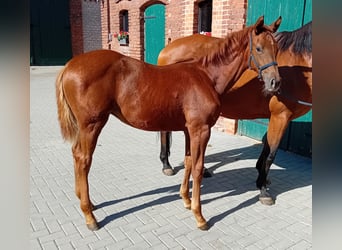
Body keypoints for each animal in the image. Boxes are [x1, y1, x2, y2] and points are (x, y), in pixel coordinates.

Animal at [55, 15, 280, 230]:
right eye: (259, 48)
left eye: (277, 48)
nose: (275, 82)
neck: (206, 77)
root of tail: (69, 66)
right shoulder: (201, 130)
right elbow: (198, 168)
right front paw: (199, 216)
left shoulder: (189, 130)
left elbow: (188, 162)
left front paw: (186, 200)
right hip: (92, 125)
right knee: (83, 160)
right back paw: (89, 215)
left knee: (76, 154)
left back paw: (87, 202)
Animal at [158, 21, 312, 205]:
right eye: (259, 49)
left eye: (276, 49)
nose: (275, 83)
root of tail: (167, 49)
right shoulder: (280, 116)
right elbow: (271, 155)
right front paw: (263, 191)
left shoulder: (276, 118)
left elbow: (266, 148)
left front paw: (261, 179)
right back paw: (166, 165)